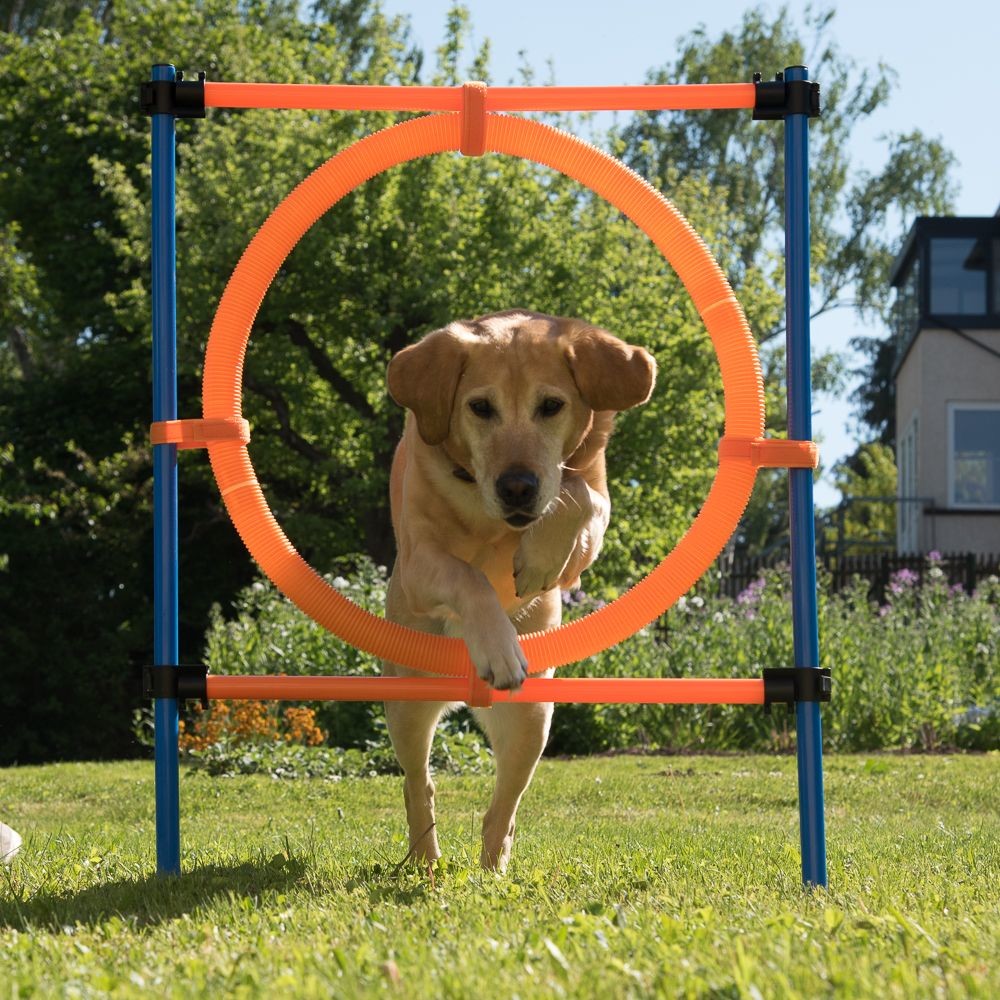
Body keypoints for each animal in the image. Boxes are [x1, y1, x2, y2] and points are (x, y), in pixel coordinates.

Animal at [382, 308, 656, 872]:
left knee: (502, 810)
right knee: (419, 785)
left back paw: (491, 873)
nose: (517, 487)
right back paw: (426, 862)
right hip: (408, 704)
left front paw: (536, 561)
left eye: (550, 405)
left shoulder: (590, 522)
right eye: (479, 407)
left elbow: (578, 495)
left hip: (533, 720)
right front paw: (498, 648)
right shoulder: (420, 563)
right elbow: (468, 576)